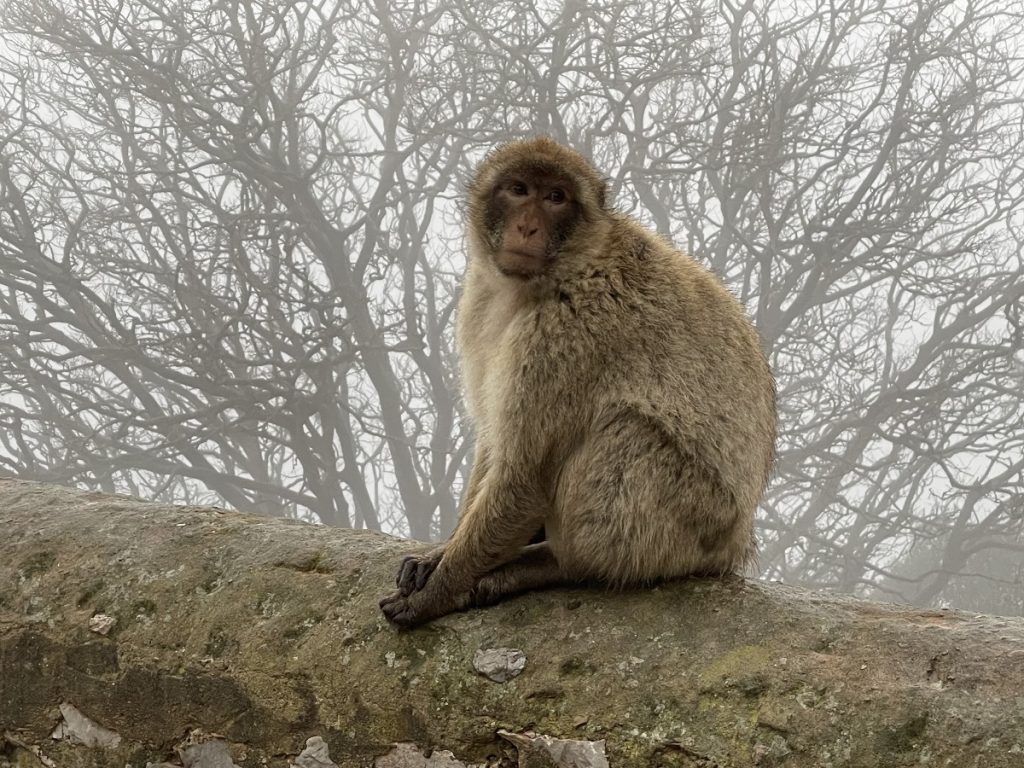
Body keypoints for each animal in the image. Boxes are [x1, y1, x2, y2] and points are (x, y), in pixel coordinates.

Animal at [378, 137, 774, 630]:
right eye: (518, 189)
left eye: (556, 197)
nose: (527, 226)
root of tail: (737, 546)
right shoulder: (481, 302)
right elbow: (493, 442)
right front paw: (438, 554)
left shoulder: (563, 333)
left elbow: (524, 475)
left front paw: (440, 590)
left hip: (690, 523)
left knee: (626, 429)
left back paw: (558, 564)